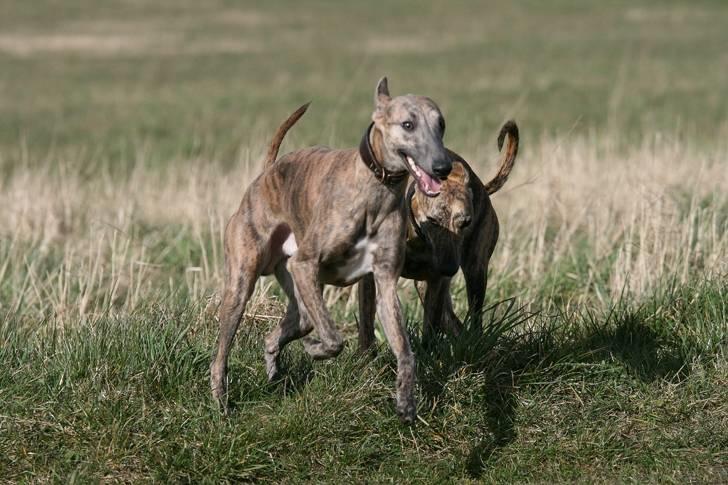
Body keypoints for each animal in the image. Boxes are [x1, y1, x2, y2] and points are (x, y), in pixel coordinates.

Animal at [208, 77, 452, 422]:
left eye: (441, 124)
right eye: (408, 124)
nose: (443, 167)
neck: (374, 190)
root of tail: (266, 174)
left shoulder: (385, 281)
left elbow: (405, 350)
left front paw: (406, 400)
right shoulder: (305, 264)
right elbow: (334, 339)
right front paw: (315, 349)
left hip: (299, 296)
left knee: (285, 329)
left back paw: (273, 366)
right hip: (243, 282)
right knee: (222, 351)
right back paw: (220, 401)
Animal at [356, 121, 516, 348]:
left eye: (466, 222)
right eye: (432, 221)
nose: (449, 268)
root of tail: (482, 188)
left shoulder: (435, 280)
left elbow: (430, 326)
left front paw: (428, 352)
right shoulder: (371, 275)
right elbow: (366, 320)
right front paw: (366, 354)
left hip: (475, 271)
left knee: (473, 320)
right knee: (454, 323)